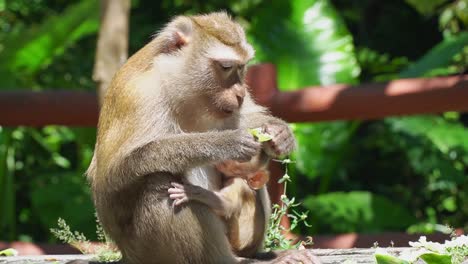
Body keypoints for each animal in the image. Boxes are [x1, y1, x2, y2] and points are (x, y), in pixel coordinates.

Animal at [86, 12, 320, 264]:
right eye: (226, 67)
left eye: (242, 67)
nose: (240, 93)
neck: (179, 87)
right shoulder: (138, 94)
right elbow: (113, 173)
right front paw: (225, 143)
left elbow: (243, 117)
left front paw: (280, 133)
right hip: (145, 251)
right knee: (157, 181)